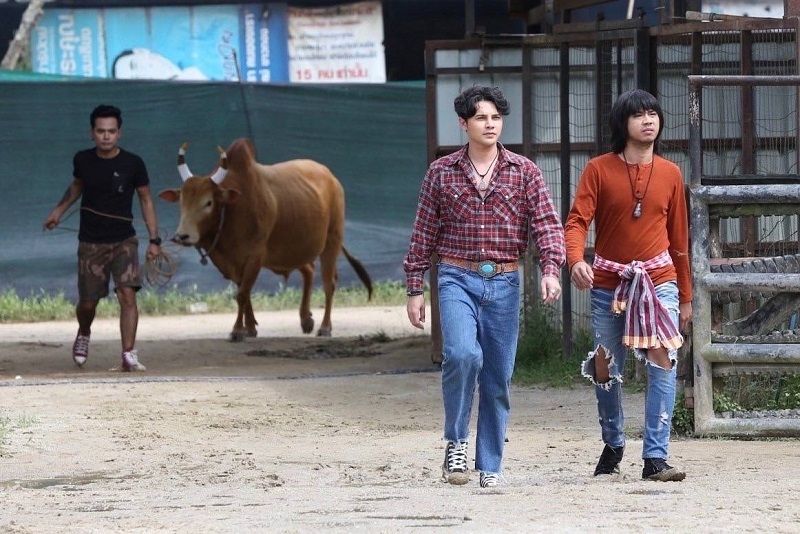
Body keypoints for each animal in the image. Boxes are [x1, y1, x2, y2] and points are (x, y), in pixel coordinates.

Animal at [158, 138, 373, 341]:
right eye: (182, 201)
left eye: (208, 202)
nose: (182, 236)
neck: (232, 212)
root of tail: (330, 177)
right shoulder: (234, 264)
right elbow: (244, 293)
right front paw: (250, 327)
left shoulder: (255, 257)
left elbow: (242, 294)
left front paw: (238, 330)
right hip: (296, 251)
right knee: (309, 271)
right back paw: (306, 319)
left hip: (332, 240)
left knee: (329, 283)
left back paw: (325, 327)